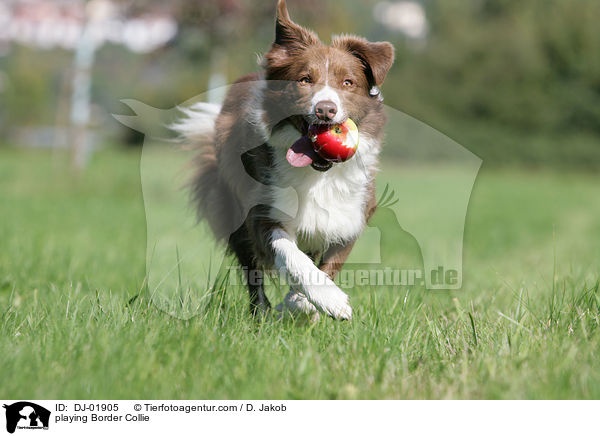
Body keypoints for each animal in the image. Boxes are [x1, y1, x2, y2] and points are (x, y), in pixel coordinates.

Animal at [176, 0, 396, 320]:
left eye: (348, 82)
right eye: (305, 80)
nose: (325, 110)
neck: (319, 176)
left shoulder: (350, 218)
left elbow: (327, 265)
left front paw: (302, 304)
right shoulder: (262, 212)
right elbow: (291, 255)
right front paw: (327, 299)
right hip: (234, 213)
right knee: (252, 273)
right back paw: (262, 313)